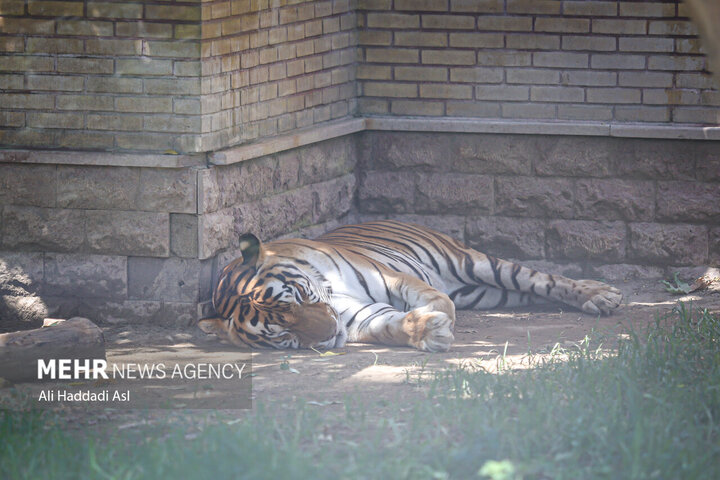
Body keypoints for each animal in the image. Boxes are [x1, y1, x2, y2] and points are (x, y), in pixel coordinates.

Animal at [198, 221, 624, 352]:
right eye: (285, 337)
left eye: (300, 297)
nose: (330, 334)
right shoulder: (357, 315)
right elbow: (388, 325)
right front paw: (427, 332)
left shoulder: (389, 276)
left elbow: (434, 298)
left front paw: (441, 320)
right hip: (489, 293)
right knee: (529, 291)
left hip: (477, 264)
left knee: (543, 279)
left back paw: (601, 295)